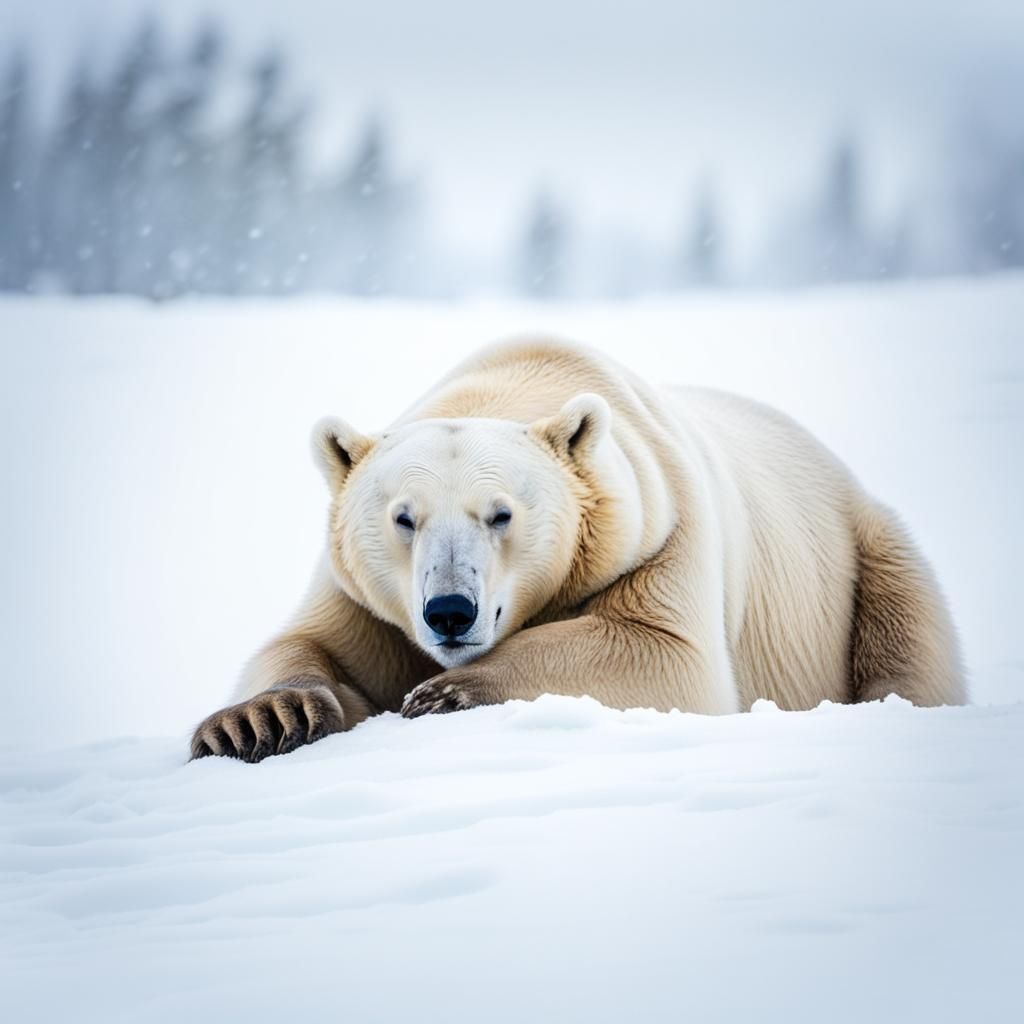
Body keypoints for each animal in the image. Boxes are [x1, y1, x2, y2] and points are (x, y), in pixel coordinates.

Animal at [190, 337, 965, 762]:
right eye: (403, 518)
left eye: (500, 514)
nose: (449, 612)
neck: (526, 376)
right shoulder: (361, 592)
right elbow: (309, 646)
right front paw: (259, 722)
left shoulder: (661, 527)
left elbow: (664, 655)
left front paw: (442, 693)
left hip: (867, 553)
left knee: (909, 640)